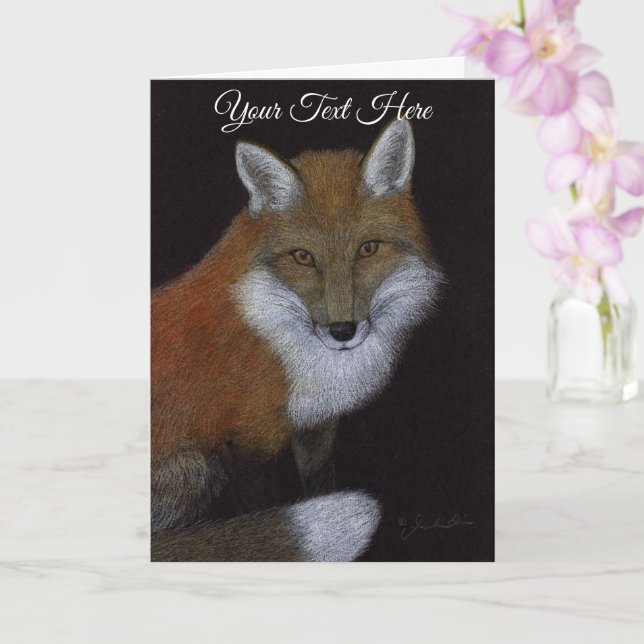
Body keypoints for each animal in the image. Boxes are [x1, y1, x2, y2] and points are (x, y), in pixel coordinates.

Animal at [151, 119, 444, 561]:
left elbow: (318, 484)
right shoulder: (247, 441)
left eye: (368, 249)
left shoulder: (315, 424)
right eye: (303, 257)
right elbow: (258, 506)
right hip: (196, 466)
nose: (342, 331)